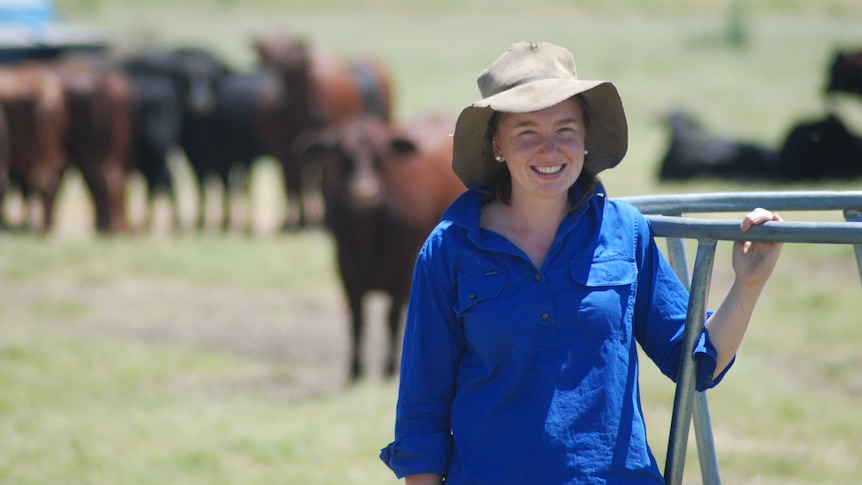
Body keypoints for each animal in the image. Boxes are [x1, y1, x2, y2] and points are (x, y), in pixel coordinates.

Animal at [251, 34, 396, 231]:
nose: (271, 95)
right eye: (262, 63)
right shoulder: (283, 149)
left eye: (290, 65)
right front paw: (291, 221)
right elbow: (291, 182)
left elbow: (315, 181)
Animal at [304, 112, 466, 382]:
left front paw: (389, 368)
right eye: (342, 154)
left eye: (380, 155)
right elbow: (358, 318)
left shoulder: (405, 272)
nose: (364, 193)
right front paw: (355, 369)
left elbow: (391, 319)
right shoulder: (346, 268)